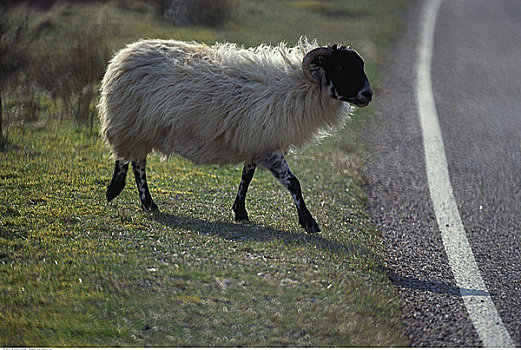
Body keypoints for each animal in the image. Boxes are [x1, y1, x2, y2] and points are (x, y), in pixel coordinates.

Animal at [97, 37, 372, 234]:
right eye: (339, 66)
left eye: (360, 65)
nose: (368, 94)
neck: (298, 88)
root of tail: (122, 55)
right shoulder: (268, 147)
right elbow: (294, 183)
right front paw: (309, 223)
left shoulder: (257, 143)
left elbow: (246, 178)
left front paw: (240, 212)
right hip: (133, 123)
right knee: (134, 162)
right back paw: (138, 199)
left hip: (137, 126)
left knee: (133, 159)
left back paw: (131, 196)